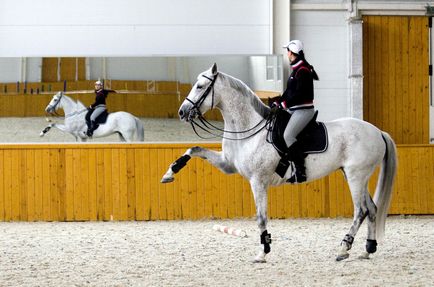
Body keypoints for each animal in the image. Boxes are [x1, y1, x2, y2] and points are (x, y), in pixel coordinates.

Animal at [162, 64, 396, 264]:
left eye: (200, 86)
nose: (182, 112)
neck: (247, 130)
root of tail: (378, 132)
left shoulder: (257, 181)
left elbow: (261, 218)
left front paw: (262, 253)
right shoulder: (227, 165)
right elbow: (194, 150)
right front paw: (169, 173)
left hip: (356, 176)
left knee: (361, 211)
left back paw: (344, 249)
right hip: (355, 176)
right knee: (372, 209)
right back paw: (367, 250)